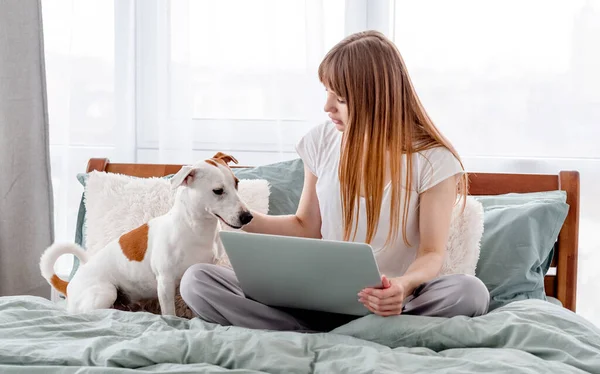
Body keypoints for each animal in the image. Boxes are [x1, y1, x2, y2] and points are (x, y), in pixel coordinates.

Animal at [38, 152, 252, 316]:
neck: (196, 228)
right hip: (105, 292)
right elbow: (169, 312)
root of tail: (69, 285)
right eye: (218, 191)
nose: (248, 216)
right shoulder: (165, 280)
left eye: (237, 183)